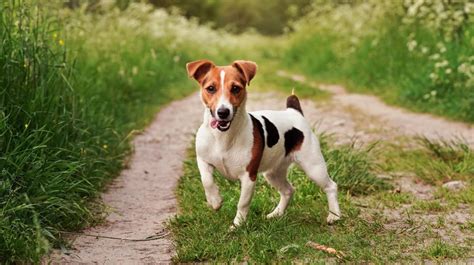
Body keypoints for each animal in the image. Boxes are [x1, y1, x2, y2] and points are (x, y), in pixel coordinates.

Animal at [186, 59, 340, 227]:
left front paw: (237, 225)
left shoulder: (249, 176)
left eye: (235, 88)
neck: (223, 136)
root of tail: (294, 112)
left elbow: (242, 203)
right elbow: (206, 180)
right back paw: (276, 213)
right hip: (273, 173)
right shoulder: (203, 160)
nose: (223, 112)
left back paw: (334, 215)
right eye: (211, 88)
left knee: (331, 186)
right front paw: (215, 201)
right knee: (288, 190)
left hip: (313, 167)